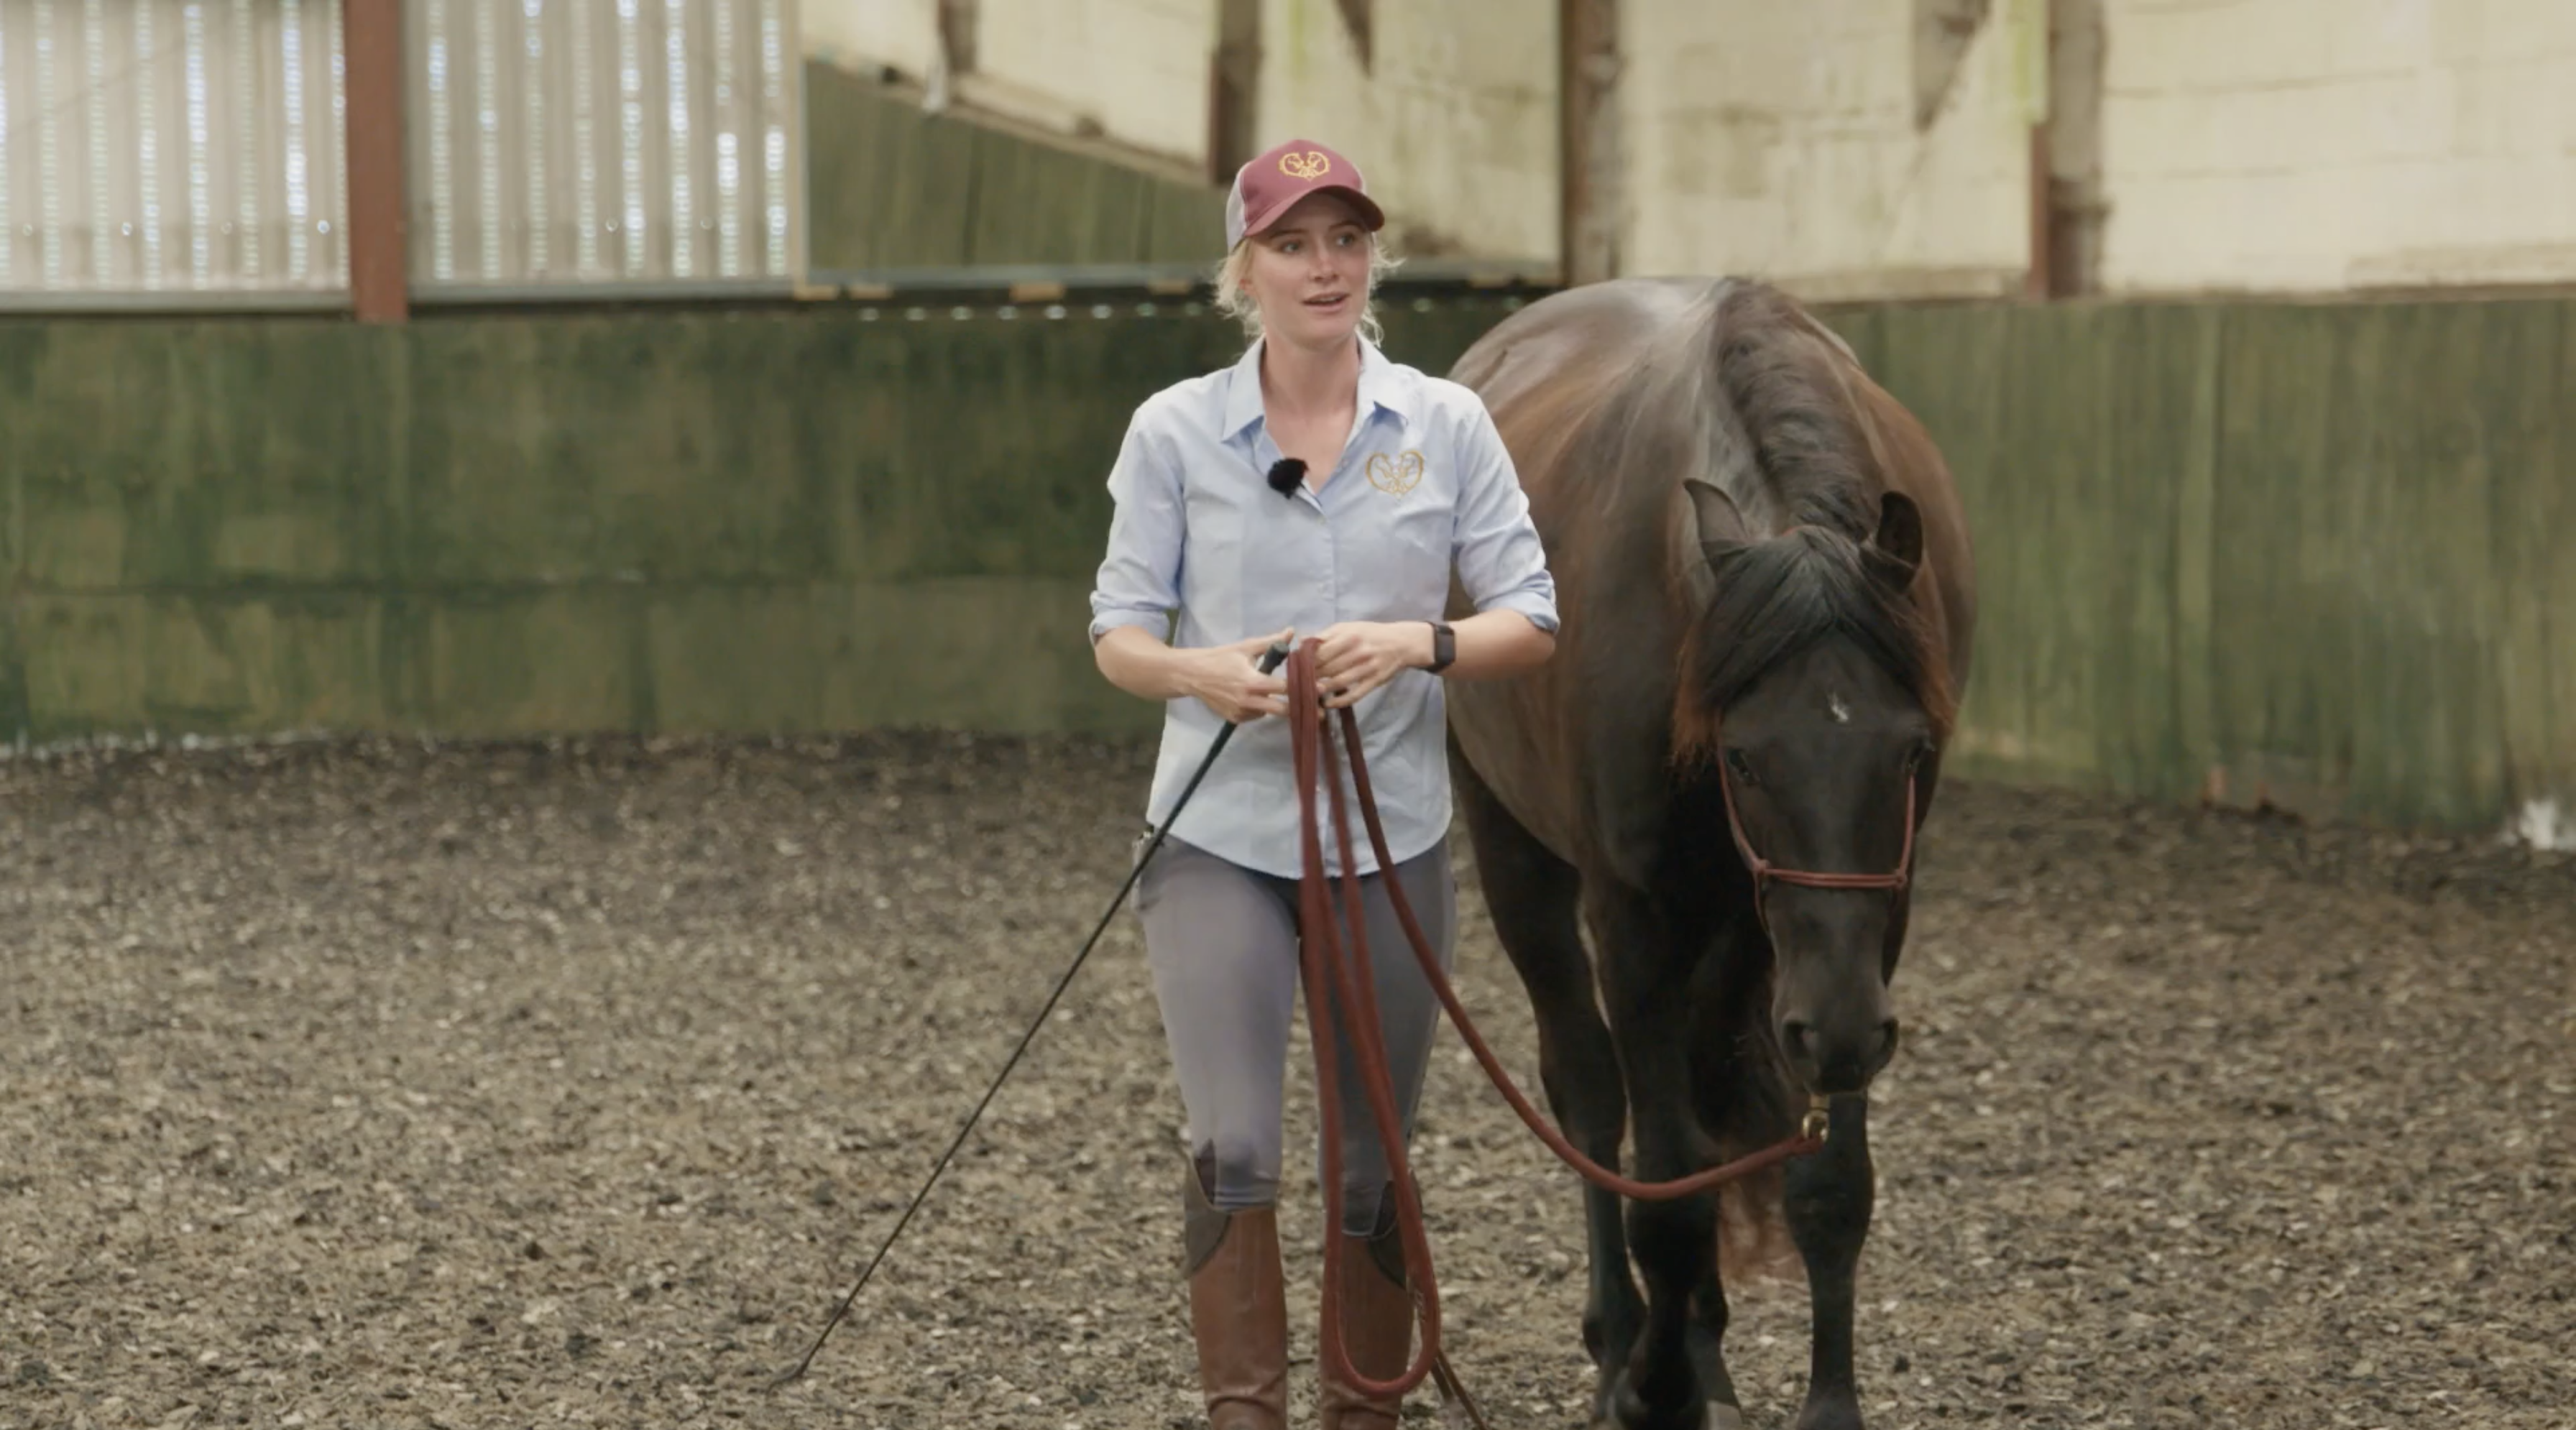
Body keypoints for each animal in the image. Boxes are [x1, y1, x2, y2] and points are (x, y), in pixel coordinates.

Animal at [1439, 276, 1977, 1430]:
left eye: (1911, 748)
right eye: (1743, 754)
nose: (1839, 1029)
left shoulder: (1869, 928)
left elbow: (1827, 1185)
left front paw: (1819, 1401)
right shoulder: (1635, 920)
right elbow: (1665, 1189)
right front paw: (1651, 1384)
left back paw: (1703, 1346)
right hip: (1517, 854)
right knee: (1589, 1094)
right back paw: (1624, 1339)